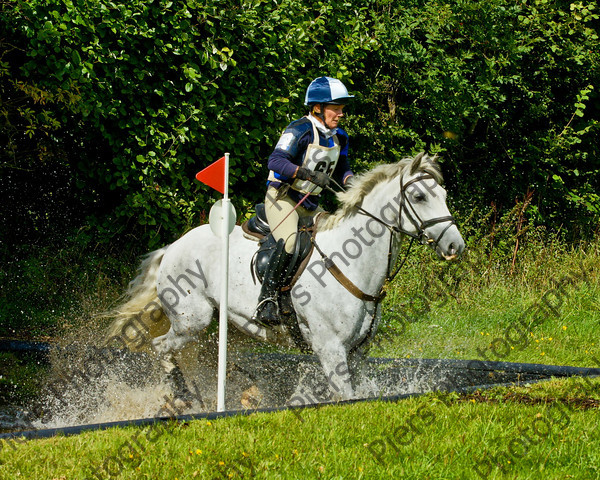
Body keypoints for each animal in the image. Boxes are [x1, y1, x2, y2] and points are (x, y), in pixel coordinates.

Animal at [106, 153, 464, 404]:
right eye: (419, 197)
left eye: (444, 193)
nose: (455, 246)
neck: (351, 265)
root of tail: (173, 247)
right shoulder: (330, 349)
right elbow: (345, 396)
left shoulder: (357, 354)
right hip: (192, 320)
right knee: (161, 348)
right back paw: (180, 395)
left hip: (220, 329)